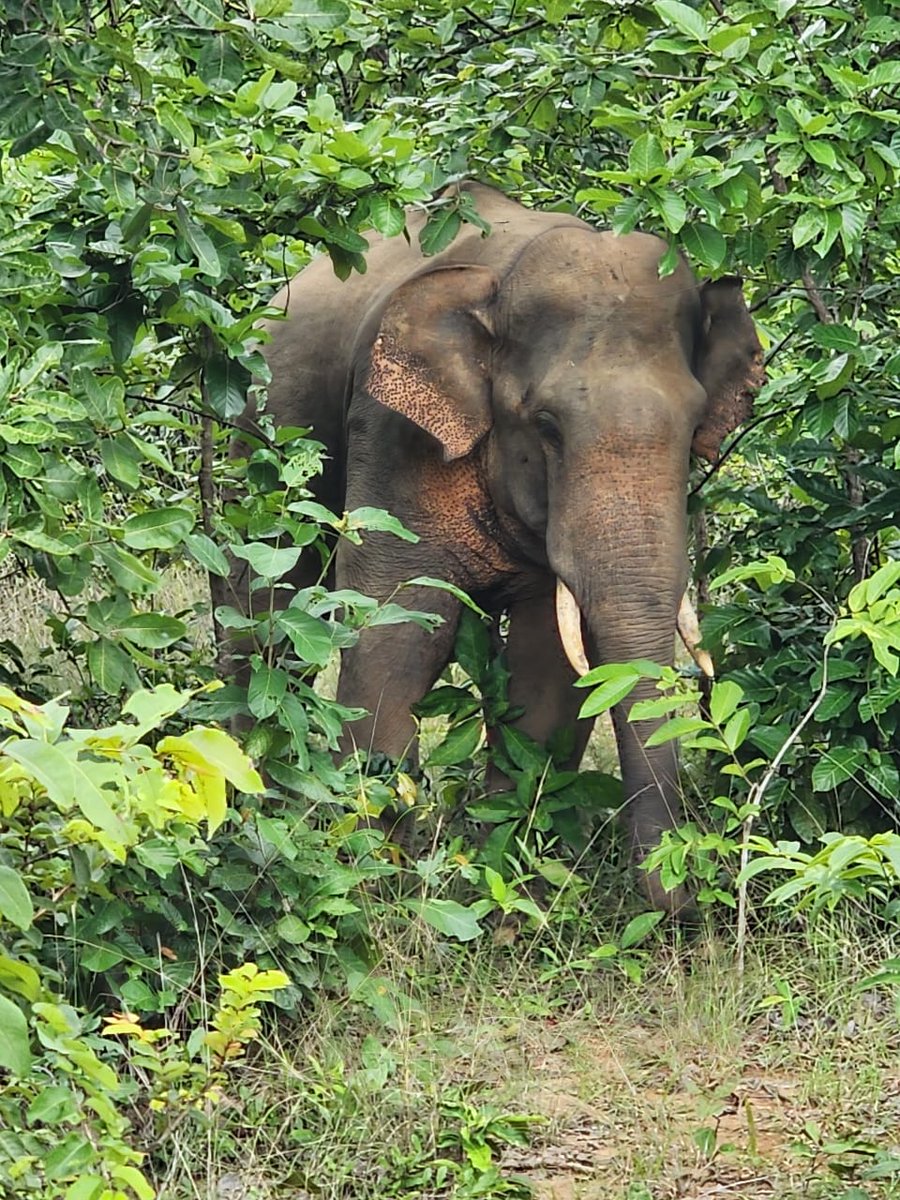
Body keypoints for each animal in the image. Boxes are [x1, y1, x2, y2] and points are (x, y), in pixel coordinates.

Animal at [220, 181, 765, 912]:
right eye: (547, 426)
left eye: (693, 426)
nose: (687, 895)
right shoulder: (389, 431)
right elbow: (400, 627)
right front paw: (379, 878)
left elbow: (547, 664)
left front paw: (505, 875)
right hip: (258, 432)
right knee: (263, 609)